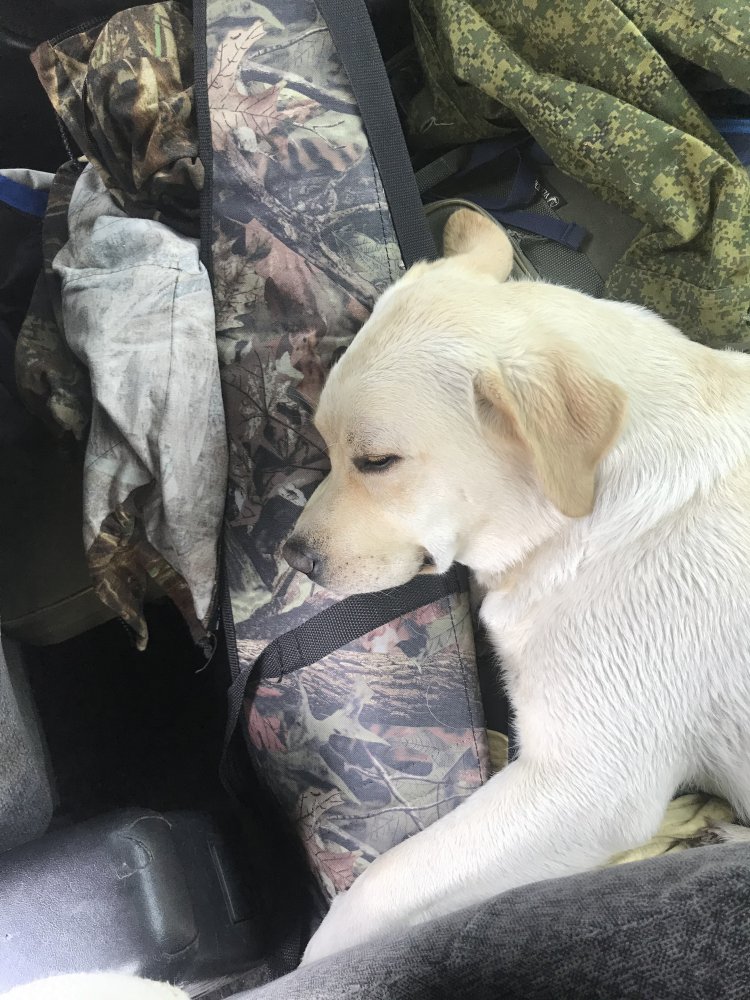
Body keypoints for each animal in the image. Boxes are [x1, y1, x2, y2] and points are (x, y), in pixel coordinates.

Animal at [283, 208, 750, 964]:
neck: (588, 511)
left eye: (376, 461)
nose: (293, 557)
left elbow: (375, 891)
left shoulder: (586, 785)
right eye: (322, 442)